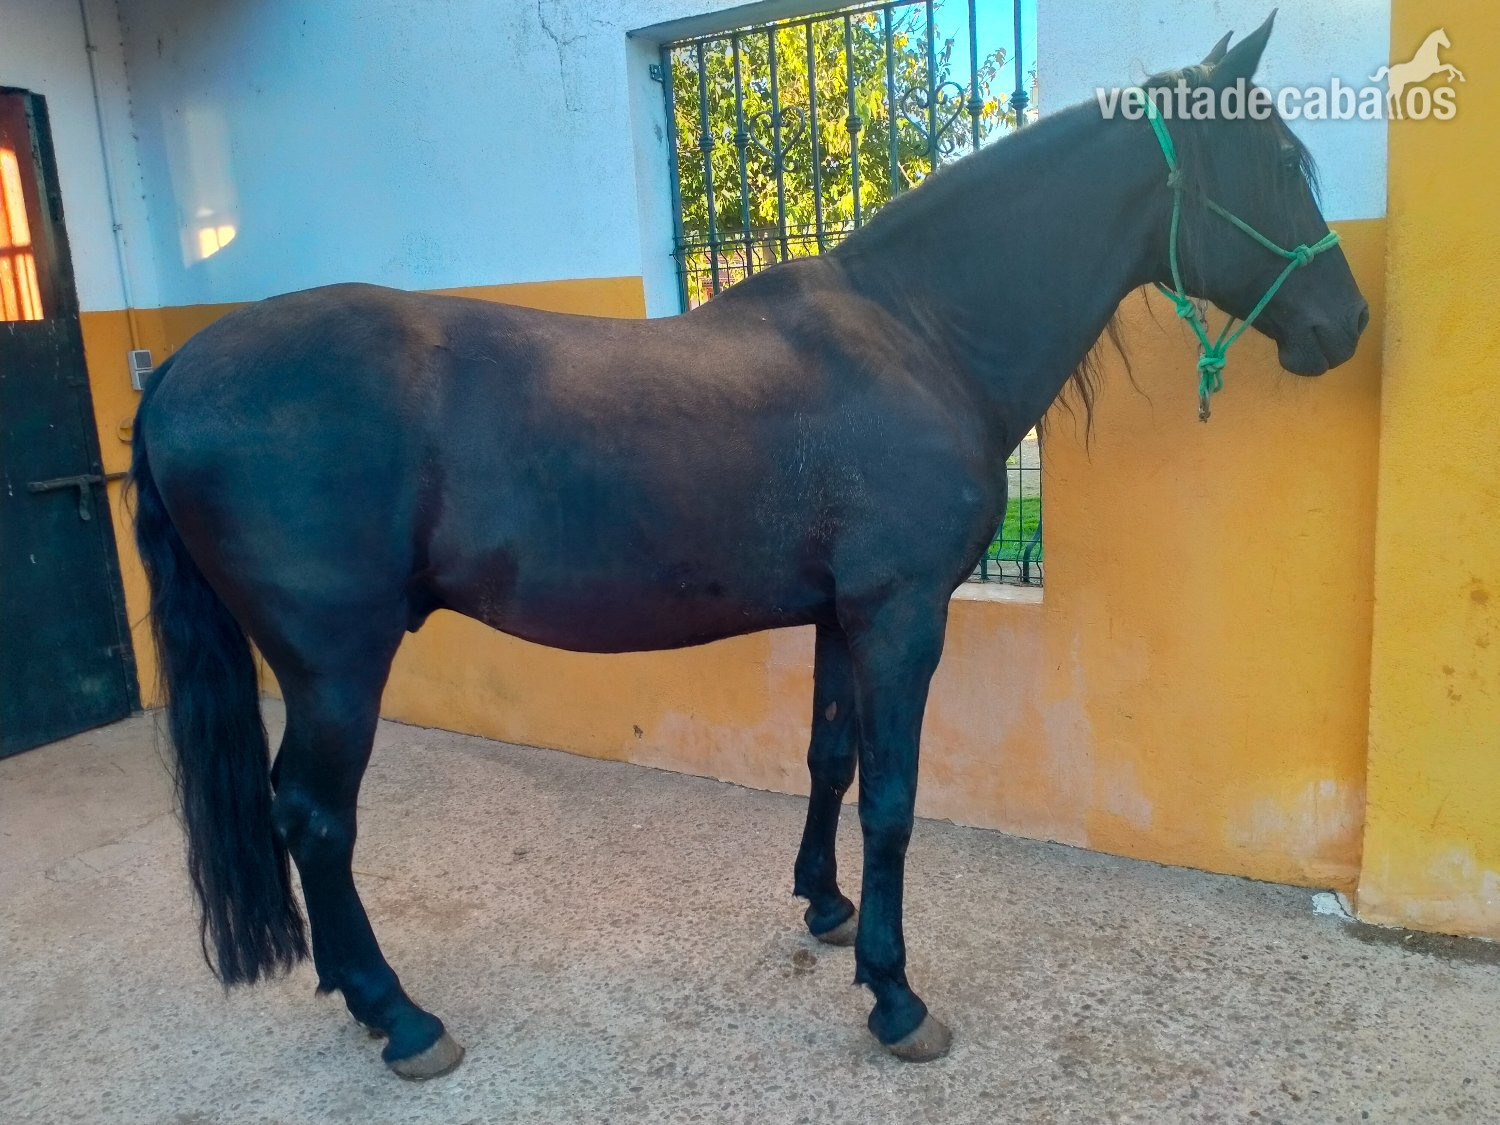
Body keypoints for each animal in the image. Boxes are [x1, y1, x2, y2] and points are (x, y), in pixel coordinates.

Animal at [130, 14, 1368, 1079]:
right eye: (1274, 159)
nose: (1347, 324)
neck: (920, 333)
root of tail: (178, 372)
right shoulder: (902, 616)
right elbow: (892, 797)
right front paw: (895, 995)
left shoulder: (839, 614)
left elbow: (829, 761)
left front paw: (824, 907)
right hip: (336, 664)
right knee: (315, 817)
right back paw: (400, 1016)